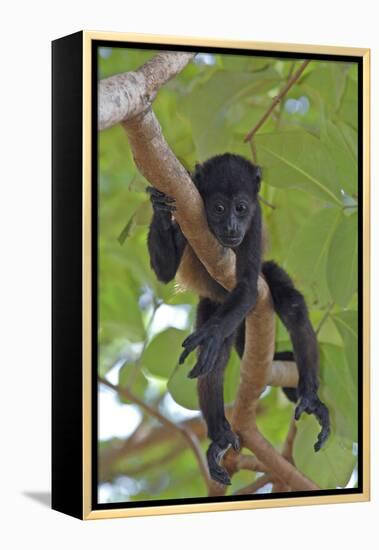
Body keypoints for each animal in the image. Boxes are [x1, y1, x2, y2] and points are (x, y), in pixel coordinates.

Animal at [147, 154, 332, 488]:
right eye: (219, 208)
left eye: (242, 208)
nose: (232, 226)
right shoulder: (186, 210)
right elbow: (164, 272)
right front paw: (158, 205)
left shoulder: (255, 223)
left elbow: (247, 286)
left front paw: (209, 335)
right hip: (213, 305)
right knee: (216, 360)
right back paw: (220, 435)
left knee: (293, 307)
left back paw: (310, 396)